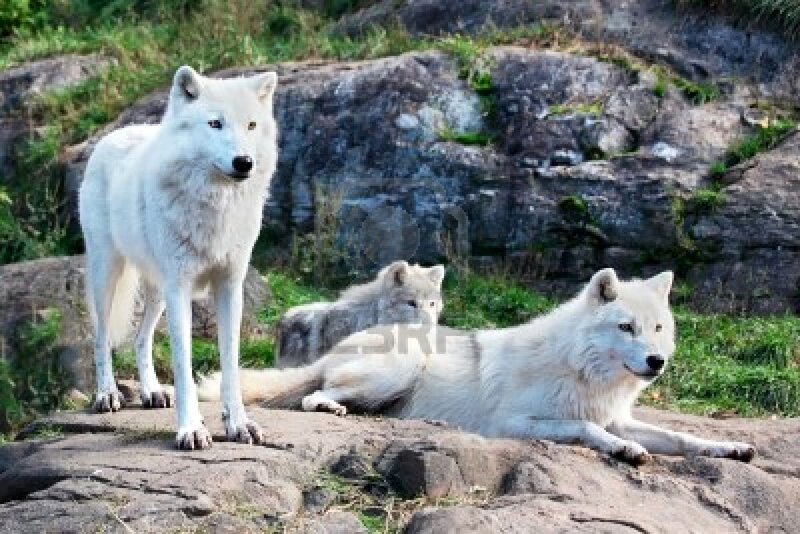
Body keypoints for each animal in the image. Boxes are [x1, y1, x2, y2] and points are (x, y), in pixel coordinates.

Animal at [79, 65, 278, 450]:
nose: (244, 162)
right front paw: (191, 429)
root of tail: (117, 132)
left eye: (251, 125)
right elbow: (184, 367)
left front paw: (239, 424)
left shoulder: (229, 287)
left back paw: (152, 392)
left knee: (140, 339)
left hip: (158, 291)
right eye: (215, 123)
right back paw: (107, 395)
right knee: (100, 338)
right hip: (108, 274)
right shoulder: (180, 289)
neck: (215, 206)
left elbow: (231, 364)